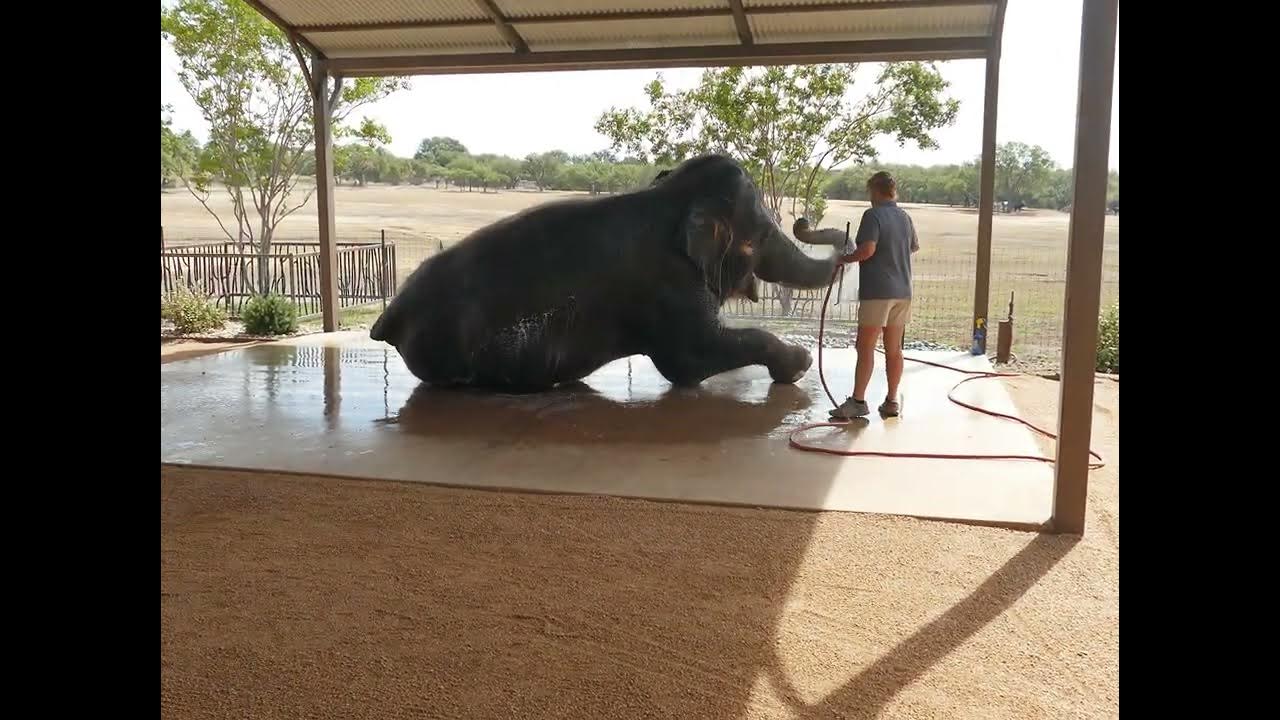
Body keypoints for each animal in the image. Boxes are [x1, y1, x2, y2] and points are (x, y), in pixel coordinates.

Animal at [369, 154, 850, 393]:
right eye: (762, 235)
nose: (803, 219)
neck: (669, 196)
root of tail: (388, 317)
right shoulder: (668, 284)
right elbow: (691, 360)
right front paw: (800, 365)